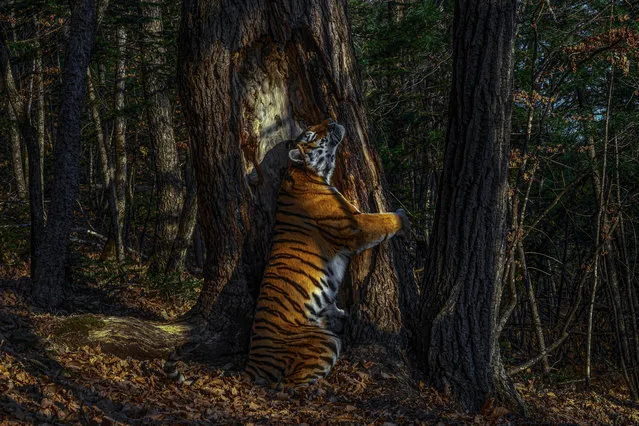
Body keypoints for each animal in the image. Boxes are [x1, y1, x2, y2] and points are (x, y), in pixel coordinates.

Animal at [245, 119, 410, 386]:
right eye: (312, 135)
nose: (332, 121)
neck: (306, 172)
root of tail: (252, 363)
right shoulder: (354, 225)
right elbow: (382, 220)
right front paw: (403, 217)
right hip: (325, 341)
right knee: (293, 385)